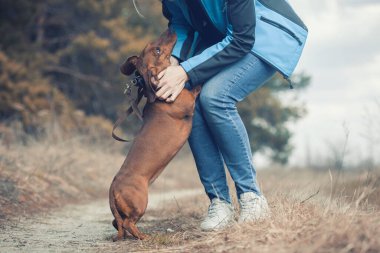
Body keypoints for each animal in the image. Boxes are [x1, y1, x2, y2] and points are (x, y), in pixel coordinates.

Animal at [108, 30, 200, 241]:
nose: (171, 30)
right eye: (157, 50)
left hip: (125, 211)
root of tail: (113, 189)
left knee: (118, 223)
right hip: (141, 203)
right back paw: (144, 237)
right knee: (128, 223)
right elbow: (198, 86)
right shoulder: (190, 100)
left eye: (153, 45)